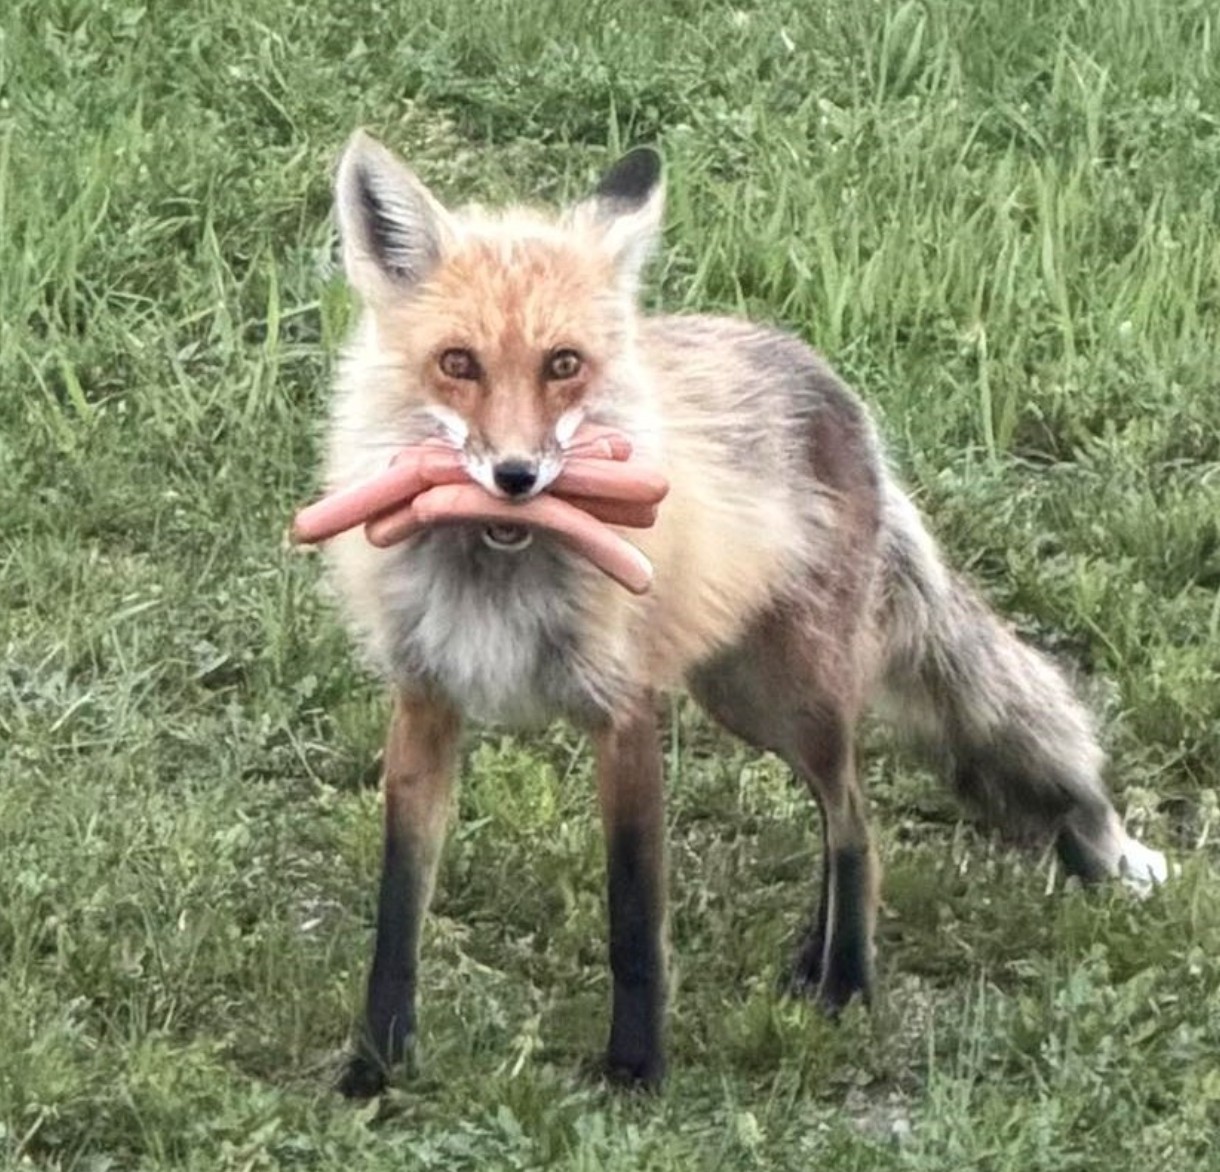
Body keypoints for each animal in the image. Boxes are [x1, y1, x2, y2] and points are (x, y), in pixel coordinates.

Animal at [312, 130, 1168, 1098]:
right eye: (458, 364)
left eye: (564, 365)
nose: (518, 477)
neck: (499, 565)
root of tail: (839, 390)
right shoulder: (425, 705)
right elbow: (397, 914)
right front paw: (374, 1068)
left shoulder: (625, 711)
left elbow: (634, 916)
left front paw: (636, 1072)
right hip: (741, 692)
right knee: (843, 817)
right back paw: (810, 960)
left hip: (793, 696)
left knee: (856, 825)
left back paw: (845, 984)